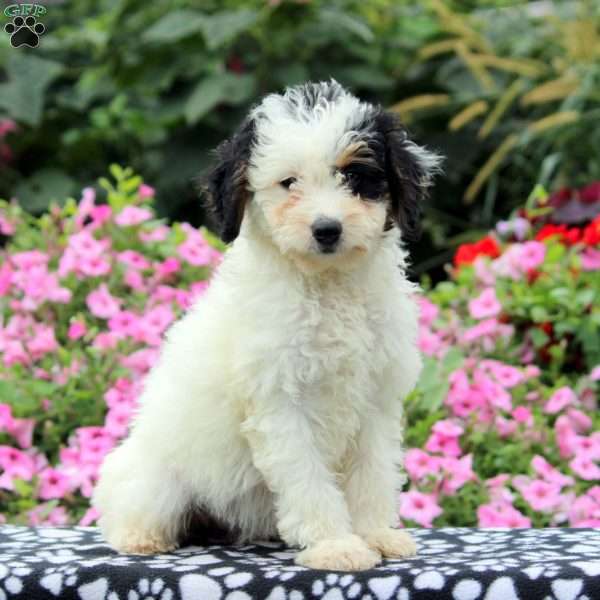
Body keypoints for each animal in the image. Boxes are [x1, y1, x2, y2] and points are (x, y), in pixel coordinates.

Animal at [92, 79, 440, 572]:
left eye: (355, 177)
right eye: (289, 183)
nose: (327, 229)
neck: (327, 285)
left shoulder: (375, 399)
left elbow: (372, 474)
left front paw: (376, 534)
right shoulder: (281, 402)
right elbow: (308, 480)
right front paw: (335, 545)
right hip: (156, 479)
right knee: (132, 510)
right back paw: (143, 538)